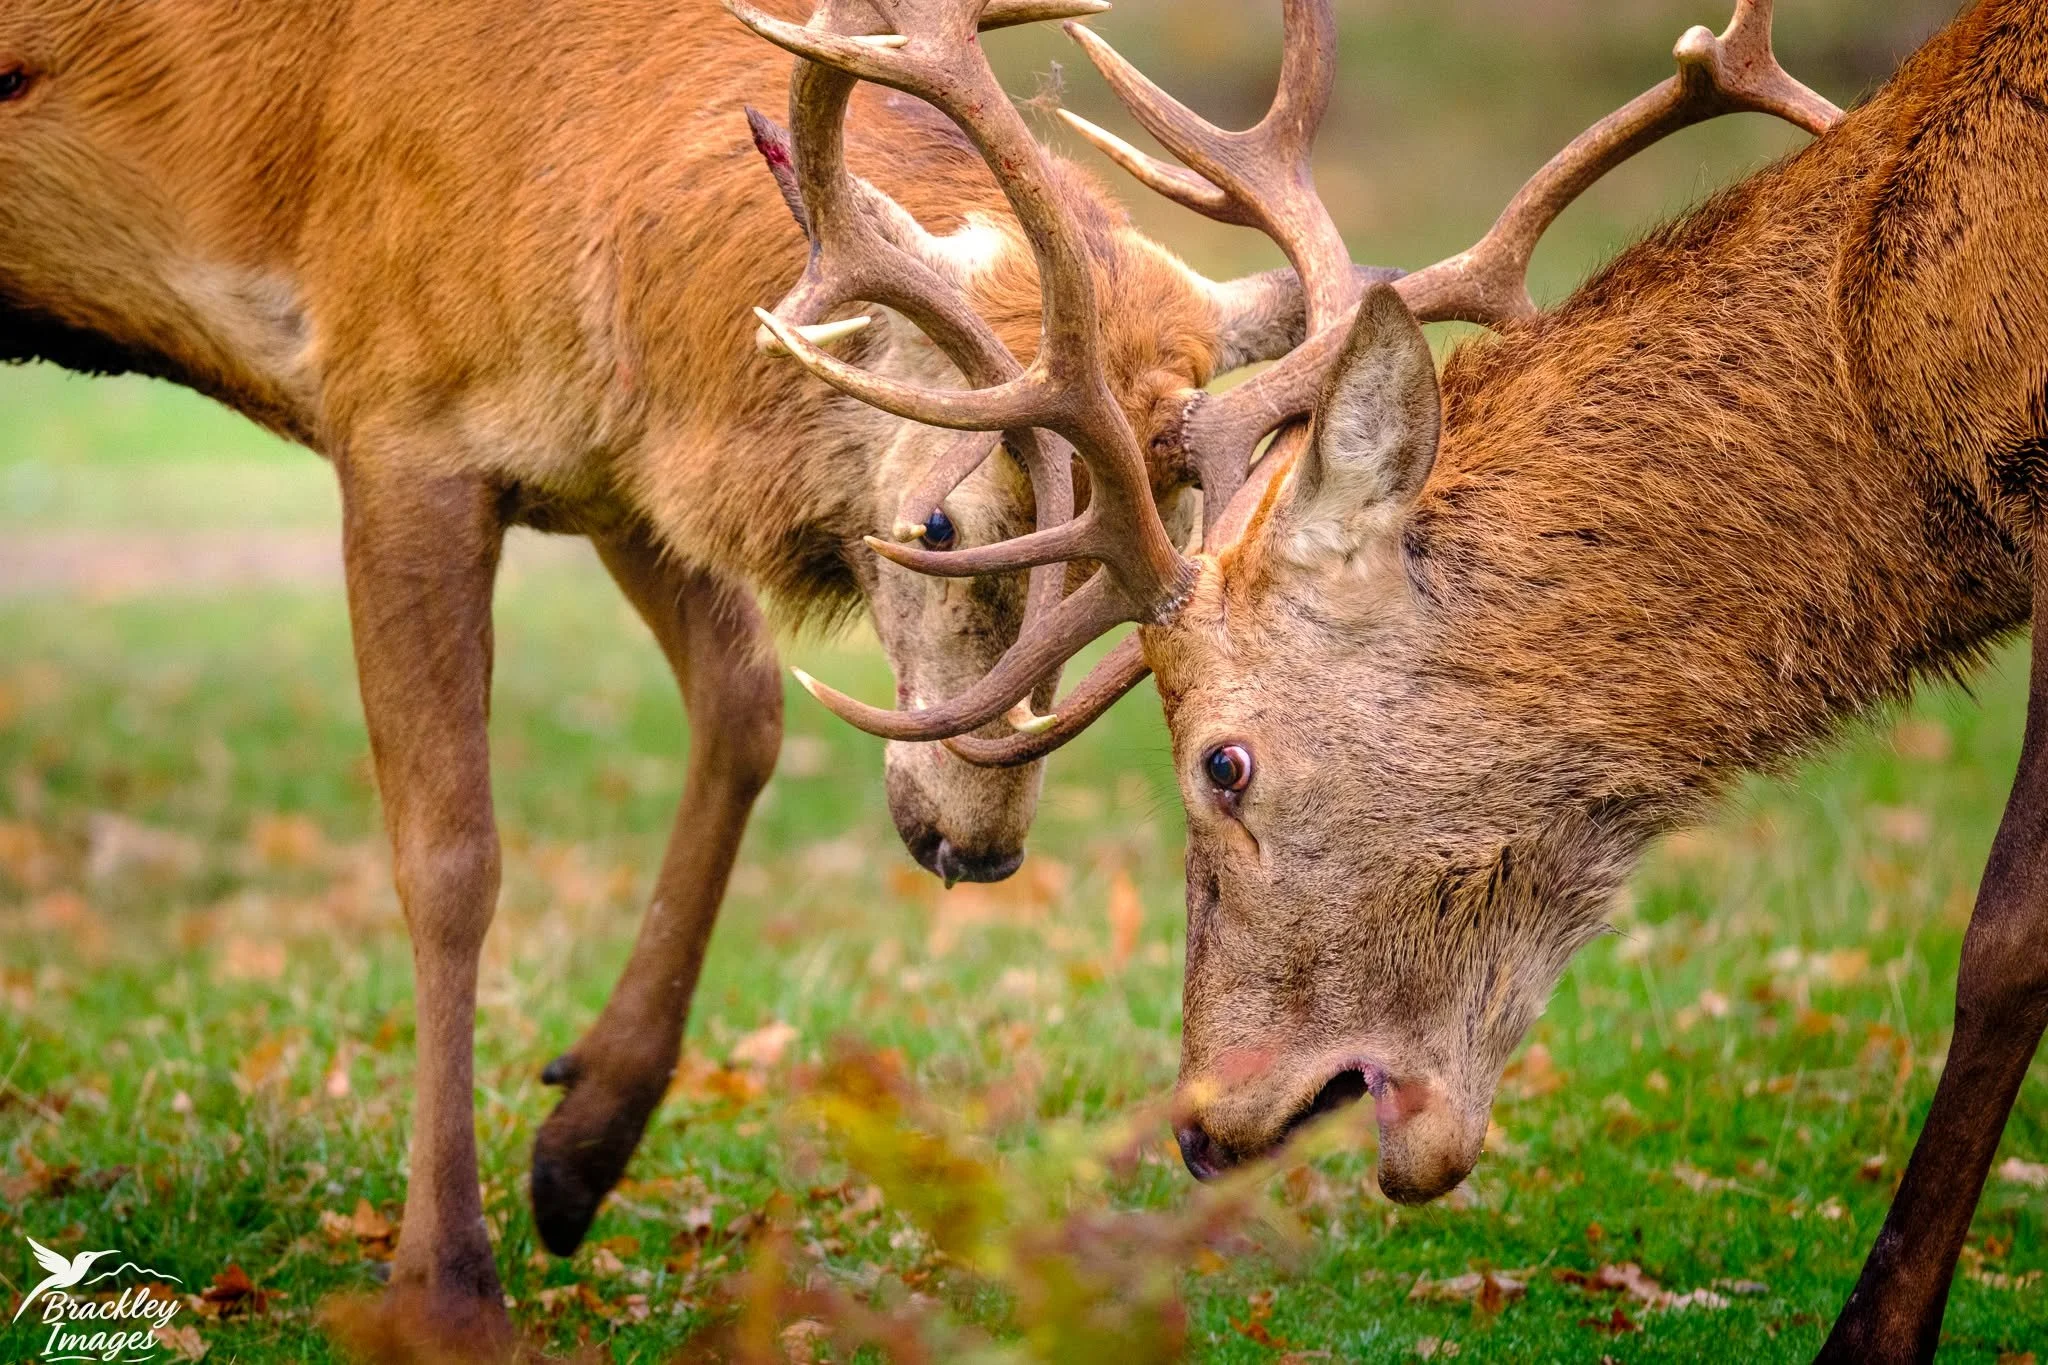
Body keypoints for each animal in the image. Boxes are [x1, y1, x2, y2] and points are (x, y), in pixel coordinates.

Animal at [0, 0, 1370, 1351]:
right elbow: (449, 858)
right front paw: (445, 1286)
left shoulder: (611, 462)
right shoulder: (393, 409)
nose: (979, 848)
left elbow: (747, 714)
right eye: (940, 525)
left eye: (1185, 534)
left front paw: (580, 1146)